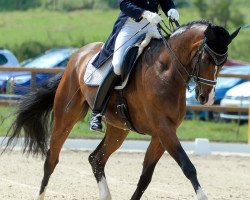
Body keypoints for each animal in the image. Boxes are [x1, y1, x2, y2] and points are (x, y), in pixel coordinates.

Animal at [3, 20, 239, 200]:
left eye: (224, 62)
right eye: (207, 59)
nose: (207, 98)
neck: (166, 71)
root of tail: (77, 56)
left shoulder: (161, 134)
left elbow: (145, 177)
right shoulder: (164, 130)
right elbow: (187, 166)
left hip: (118, 129)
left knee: (96, 159)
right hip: (66, 116)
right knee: (52, 158)